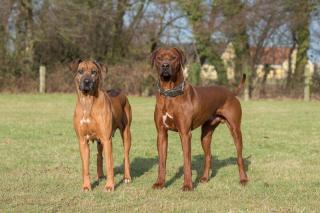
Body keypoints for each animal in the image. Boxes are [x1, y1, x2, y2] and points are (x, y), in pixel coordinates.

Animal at [69, 59, 132, 191]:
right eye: (80, 71)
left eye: (94, 72)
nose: (86, 82)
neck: (88, 102)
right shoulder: (82, 140)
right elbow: (85, 167)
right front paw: (86, 186)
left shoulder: (107, 140)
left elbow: (109, 164)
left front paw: (109, 186)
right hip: (99, 140)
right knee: (99, 155)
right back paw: (100, 175)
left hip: (126, 133)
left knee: (126, 156)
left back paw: (127, 177)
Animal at [151, 47, 249, 191]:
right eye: (159, 58)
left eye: (173, 57)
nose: (165, 65)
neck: (169, 93)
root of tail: (231, 93)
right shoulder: (161, 133)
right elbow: (162, 161)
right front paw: (160, 183)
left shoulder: (185, 133)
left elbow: (187, 161)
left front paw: (187, 185)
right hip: (206, 134)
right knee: (208, 156)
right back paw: (204, 178)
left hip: (235, 130)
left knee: (239, 157)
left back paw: (243, 179)